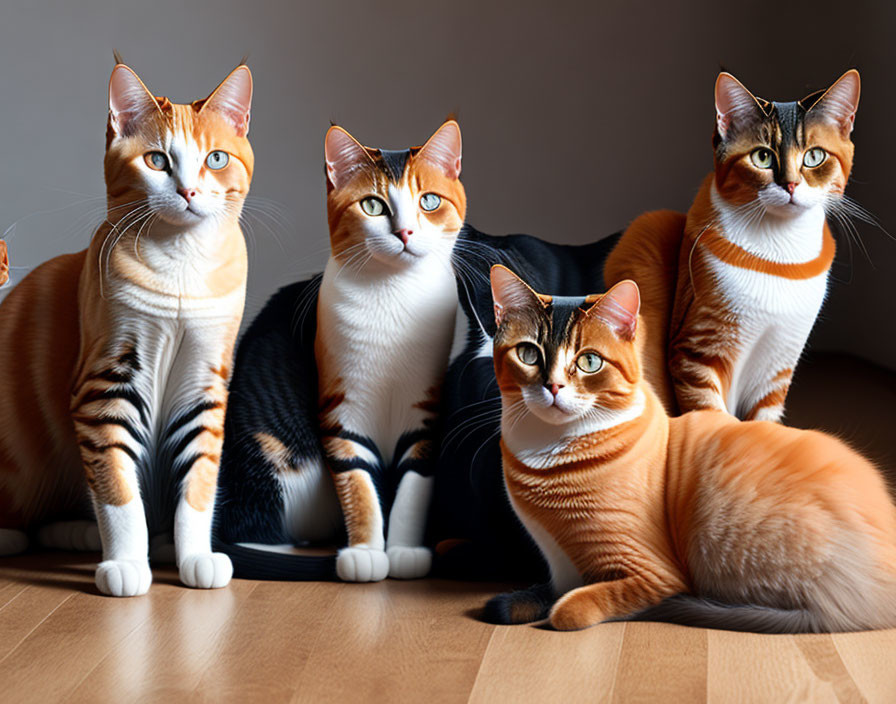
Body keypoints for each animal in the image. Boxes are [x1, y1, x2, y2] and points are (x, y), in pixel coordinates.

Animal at [0, 62, 254, 600]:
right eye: (157, 160)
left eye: (216, 158)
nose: (188, 192)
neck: (181, 268)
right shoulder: (106, 381)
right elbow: (118, 488)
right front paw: (125, 562)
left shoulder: (203, 385)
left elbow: (198, 484)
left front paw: (194, 557)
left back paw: (81, 532)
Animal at [217, 122, 466, 584]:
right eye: (372, 205)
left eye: (429, 201)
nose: (405, 233)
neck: (393, 294)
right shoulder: (341, 411)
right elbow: (358, 484)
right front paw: (365, 553)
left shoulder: (425, 411)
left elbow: (414, 483)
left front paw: (404, 551)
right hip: (270, 454)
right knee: (244, 526)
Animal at [486, 266, 896, 636]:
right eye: (528, 355)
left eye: (589, 361)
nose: (553, 387)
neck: (547, 452)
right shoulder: (557, 564)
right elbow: (536, 594)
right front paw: (515, 604)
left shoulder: (653, 573)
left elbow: (578, 605)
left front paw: (558, 609)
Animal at [604, 69, 856, 420]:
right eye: (762, 156)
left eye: (814, 156)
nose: (791, 184)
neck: (780, 256)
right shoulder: (695, 352)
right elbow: (714, 417)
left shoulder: (777, 368)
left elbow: (763, 424)